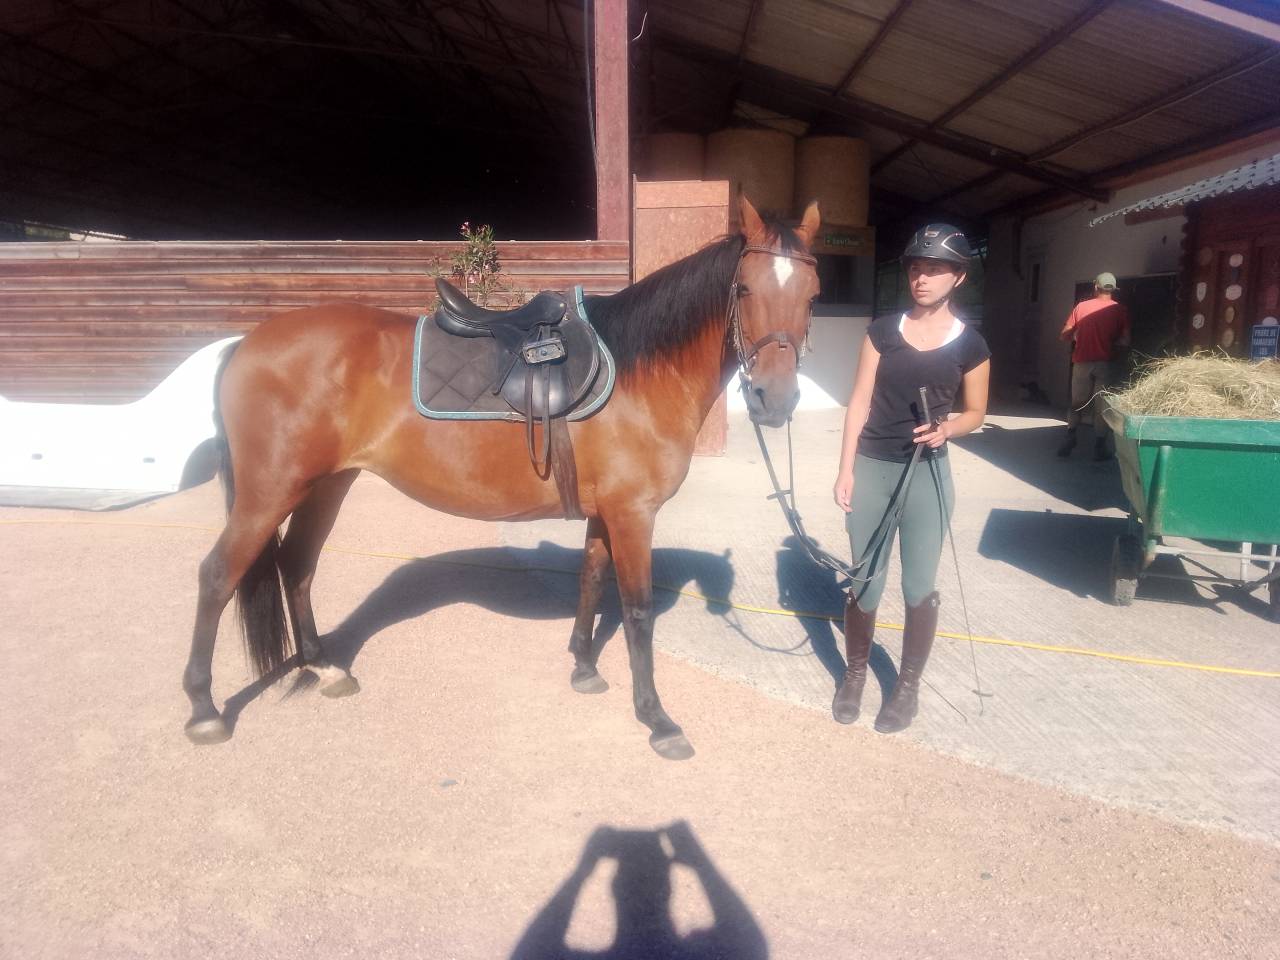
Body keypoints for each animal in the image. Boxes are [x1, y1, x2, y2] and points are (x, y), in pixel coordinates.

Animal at [184, 195, 820, 760]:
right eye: (744, 289)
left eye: (813, 296)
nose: (774, 400)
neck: (642, 370)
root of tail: (245, 344)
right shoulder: (634, 514)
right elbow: (637, 611)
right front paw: (657, 719)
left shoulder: (605, 512)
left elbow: (591, 581)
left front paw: (583, 667)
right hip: (270, 492)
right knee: (217, 575)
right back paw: (204, 709)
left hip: (325, 486)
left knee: (297, 567)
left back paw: (323, 667)